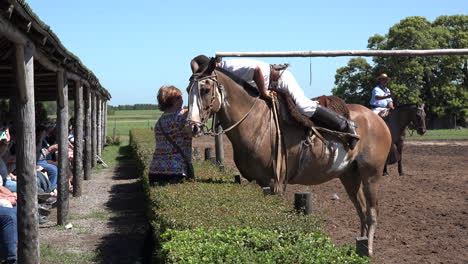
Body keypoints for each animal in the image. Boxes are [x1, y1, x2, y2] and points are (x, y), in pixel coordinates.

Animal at [186, 58, 392, 255]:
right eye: (188, 90)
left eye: (205, 89)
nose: (192, 126)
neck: (256, 121)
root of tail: (376, 119)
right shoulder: (260, 182)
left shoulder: (273, 182)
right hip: (349, 175)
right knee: (362, 210)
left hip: (371, 175)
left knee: (372, 212)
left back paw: (369, 249)